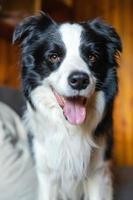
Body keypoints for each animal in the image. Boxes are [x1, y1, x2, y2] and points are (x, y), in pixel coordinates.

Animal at [13, 12, 121, 200]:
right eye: (54, 56)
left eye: (92, 56)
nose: (79, 80)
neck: (70, 128)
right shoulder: (47, 174)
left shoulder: (98, 172)